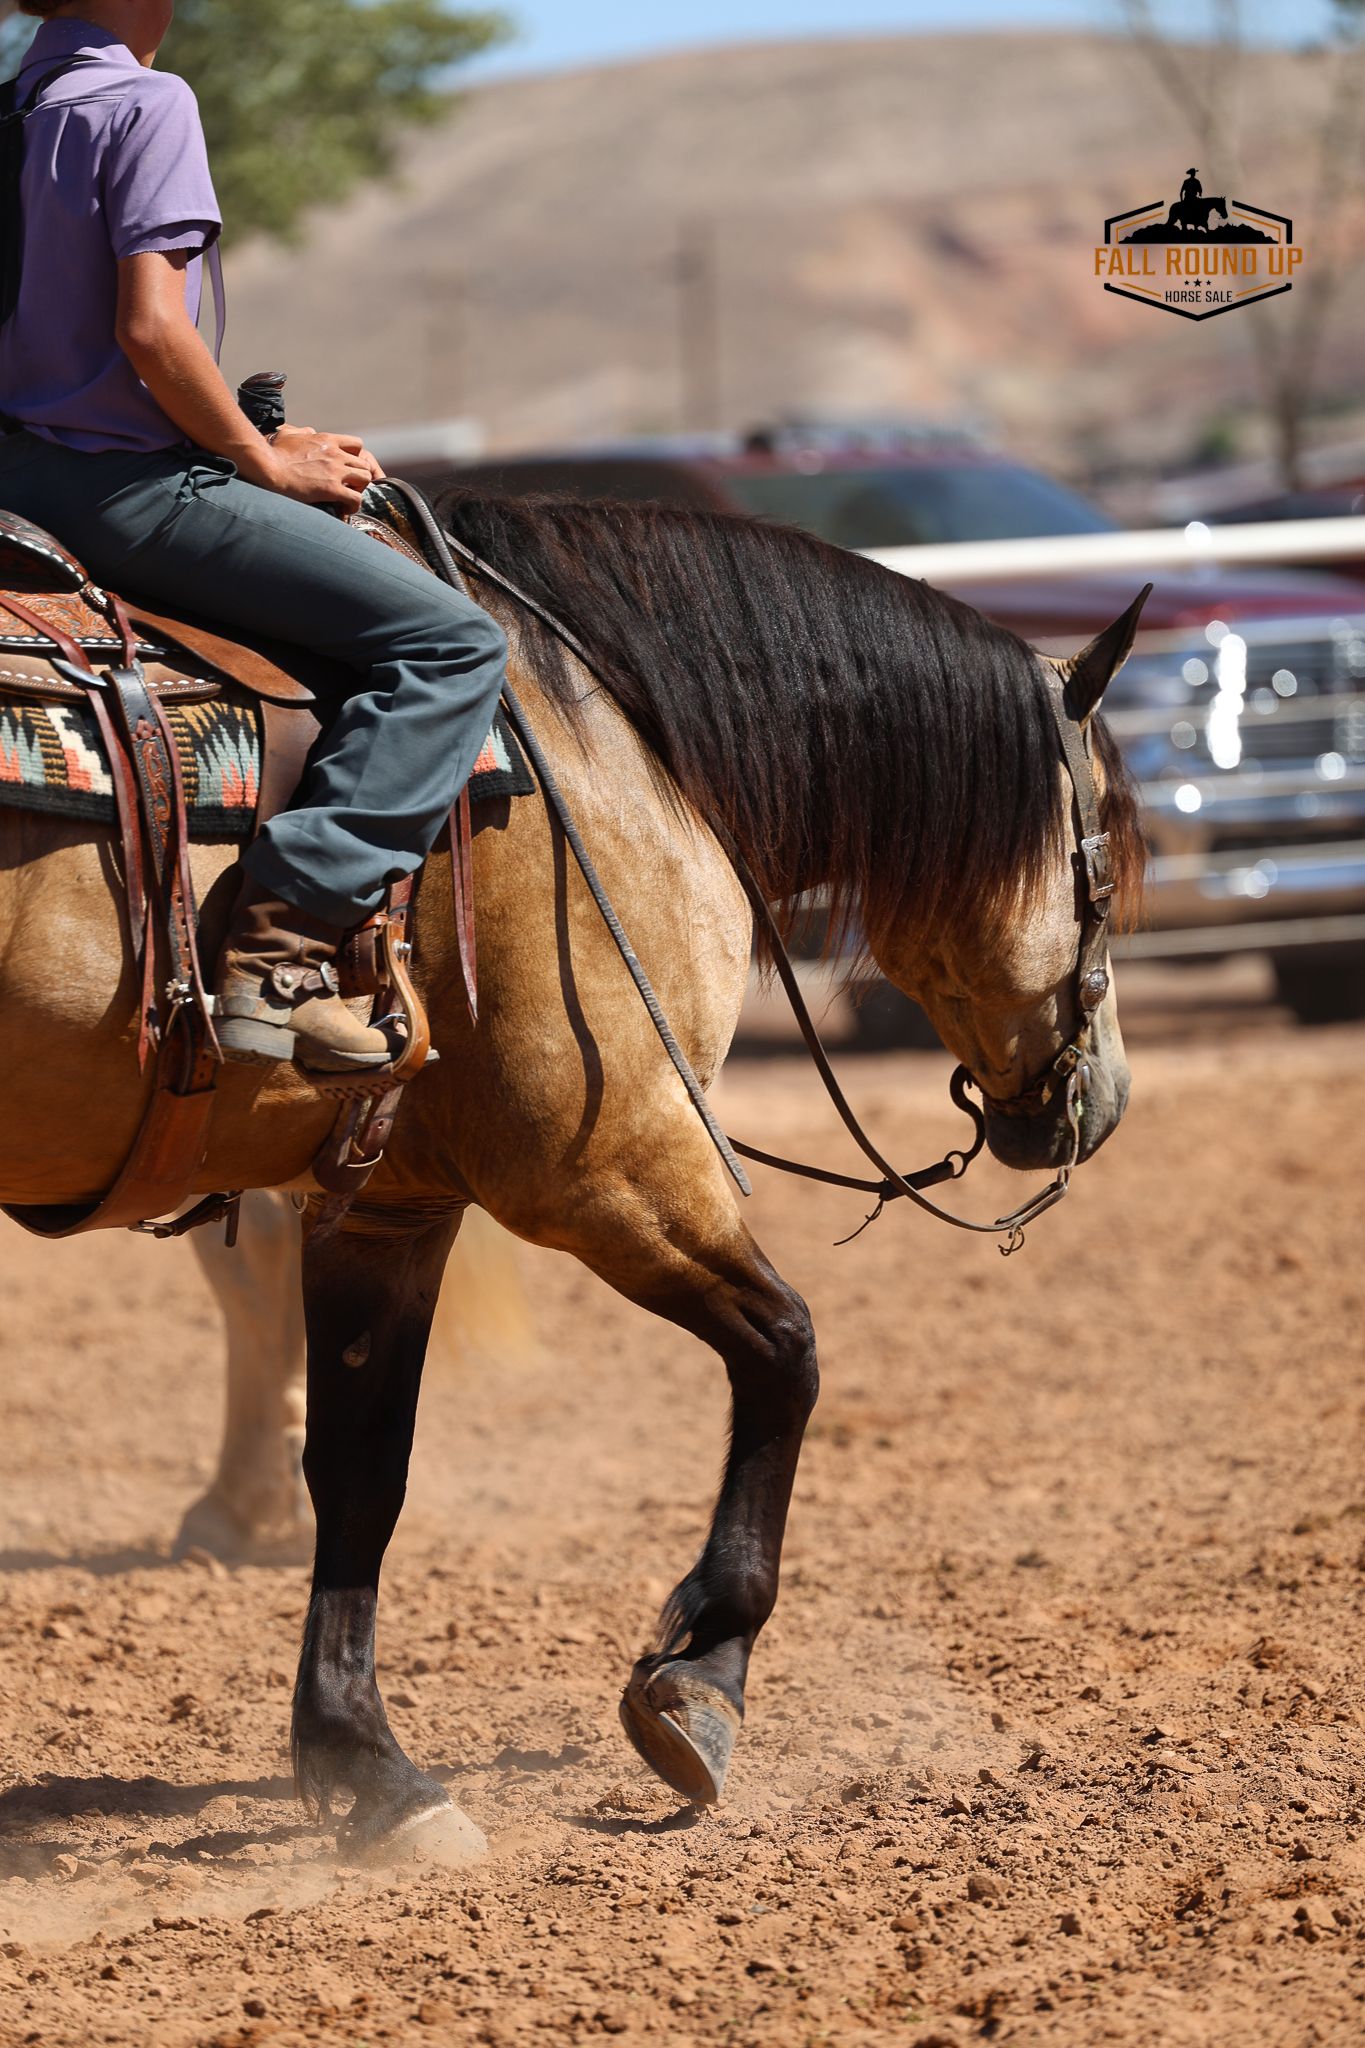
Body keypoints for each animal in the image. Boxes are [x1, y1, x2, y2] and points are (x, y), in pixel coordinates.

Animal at [0, 491, 1146, 1850]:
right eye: (1104, 874)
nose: (1104, 1102)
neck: (606, 750)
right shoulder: (608, 1167)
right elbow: (787, 1353)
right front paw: (700, 1681)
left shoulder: (389, 1203)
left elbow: (362, 1470)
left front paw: (366, 1766)